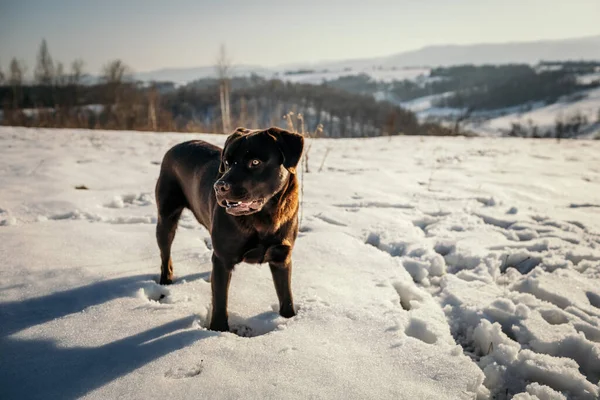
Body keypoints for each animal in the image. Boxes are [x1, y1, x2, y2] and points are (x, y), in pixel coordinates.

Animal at [156, 127, 304, 332]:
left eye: (255, 162)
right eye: (226, 162)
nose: (219, 187)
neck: (264, 218)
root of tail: (177, 145)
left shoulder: (282, 258)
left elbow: (286, 298)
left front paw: (289, 321)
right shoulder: (223, 260)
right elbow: (220, 301)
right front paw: (219, 330)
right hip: (166, 219)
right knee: (165, 254)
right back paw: (165, 281)